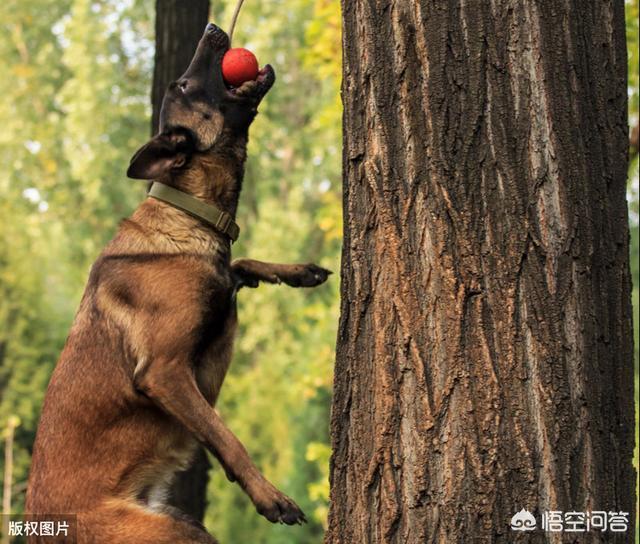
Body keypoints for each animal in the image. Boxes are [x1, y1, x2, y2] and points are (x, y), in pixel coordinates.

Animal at [25, 22, 330, 544]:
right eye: (185, 86)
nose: (213, 28)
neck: (189, 212)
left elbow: (239, 264)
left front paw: (295, 272)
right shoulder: (165, 371)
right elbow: (225, 435)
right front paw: (269, 496)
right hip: (173, 531)